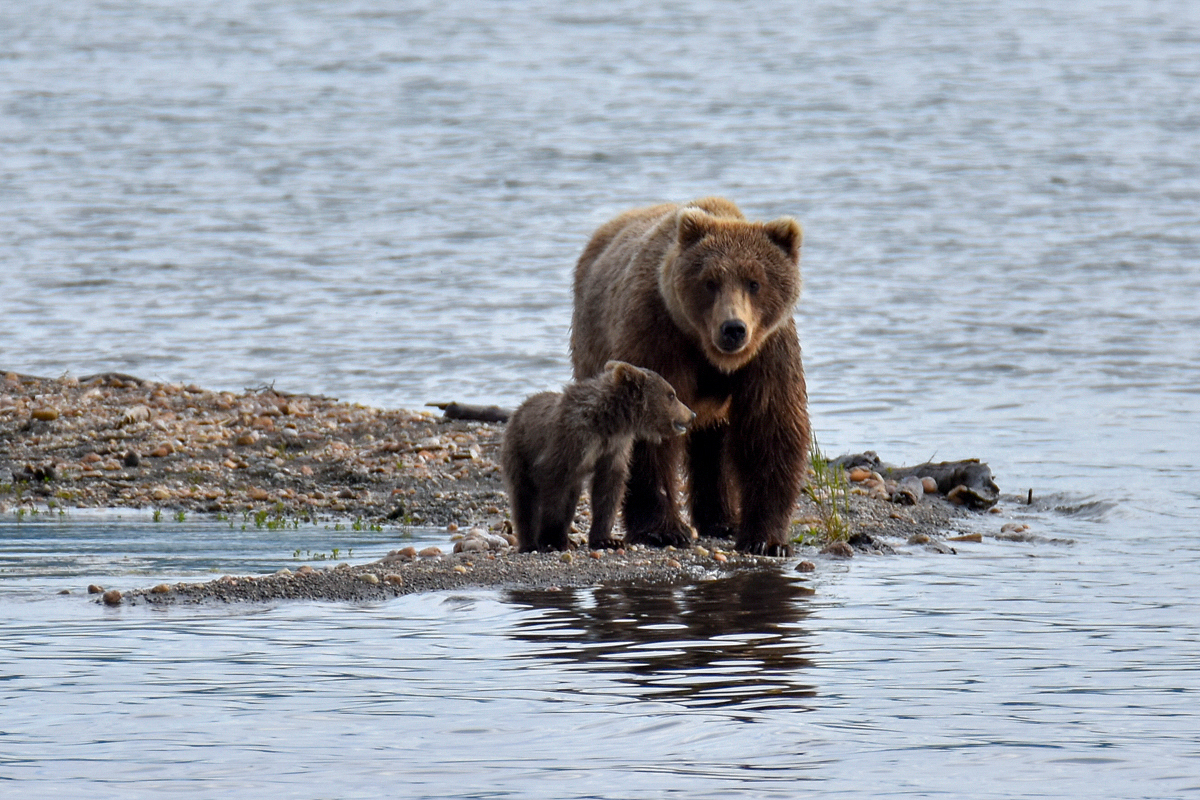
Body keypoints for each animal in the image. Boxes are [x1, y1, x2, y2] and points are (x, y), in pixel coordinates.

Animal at [568, 199, 811, 556]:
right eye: (710, 281)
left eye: (754, 282)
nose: (733, 328)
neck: (710, 354)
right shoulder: (658, 337)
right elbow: (649, 432)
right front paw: (662, 530)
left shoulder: (768, 353)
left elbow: (769, 428)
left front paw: (765, 538)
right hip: (592, 343)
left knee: (713, 447)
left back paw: (722, 521)